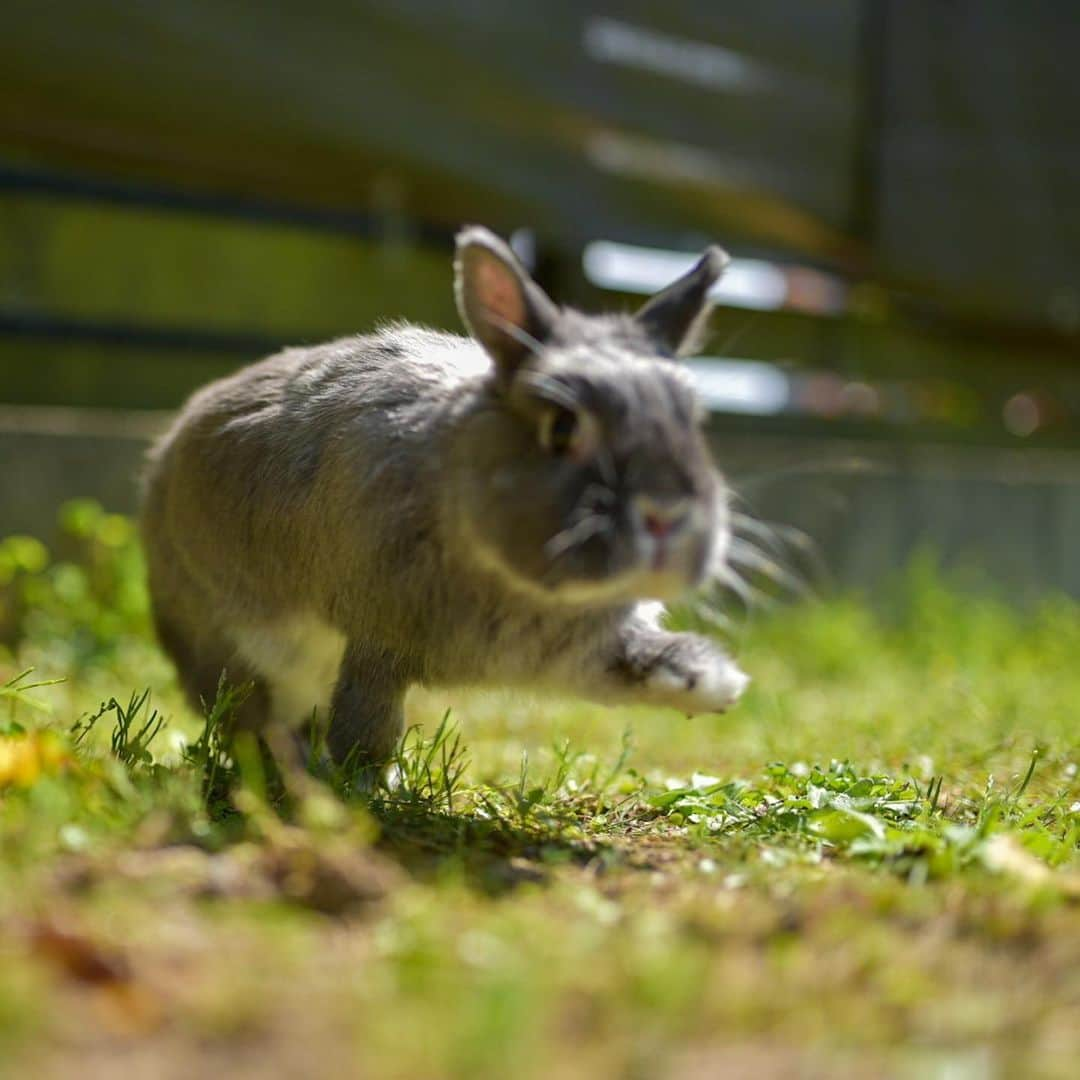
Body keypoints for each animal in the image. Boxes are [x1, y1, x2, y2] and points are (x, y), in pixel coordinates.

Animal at [141, 225, 751, 768]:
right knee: (252, 718)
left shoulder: (577, 651)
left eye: (692, 421)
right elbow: (366, 731)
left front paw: (711, 683)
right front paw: (361, 792)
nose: (666, 513)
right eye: (561, 426)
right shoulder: (375, 647)